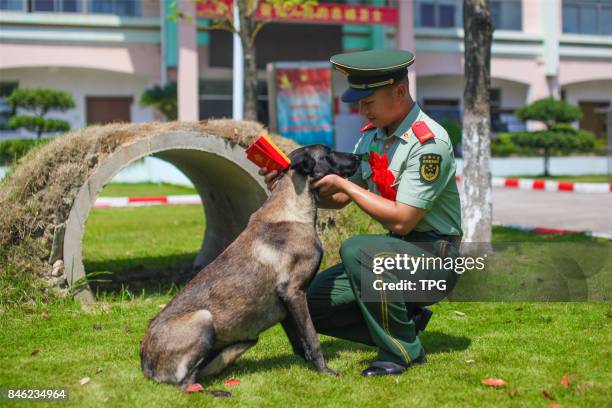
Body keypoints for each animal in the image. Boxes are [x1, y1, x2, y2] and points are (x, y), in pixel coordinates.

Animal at [140, 145, 358, 390]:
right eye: (327, 153)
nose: (359, 157)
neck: (292, 209)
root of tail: (145, 364)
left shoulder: (286, 307)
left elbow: (300, 344)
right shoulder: (294, 293)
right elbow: (312, 338)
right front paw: (326, 371)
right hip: (203, 318)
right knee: (186, 383)